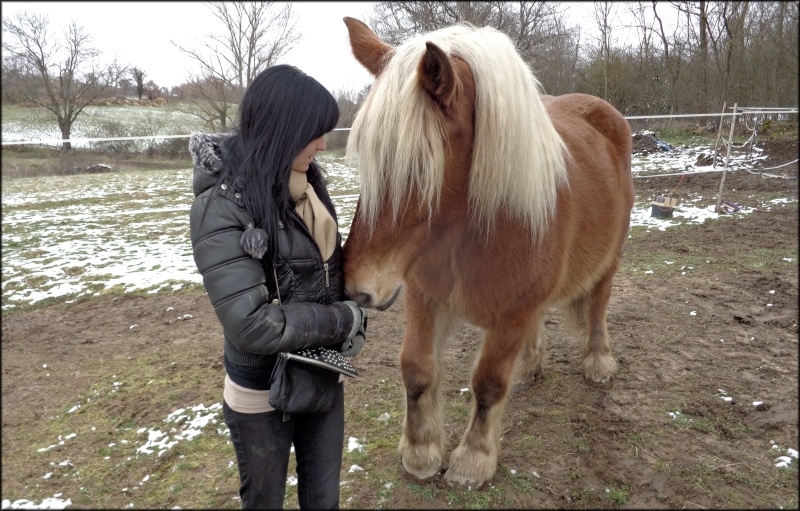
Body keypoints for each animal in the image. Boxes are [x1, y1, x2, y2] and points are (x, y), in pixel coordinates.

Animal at [340, 15, 636, 488]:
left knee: (597, 310)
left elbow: (489, 382)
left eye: (419, 167)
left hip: (608, 264)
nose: (356, 287)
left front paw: (472, 461)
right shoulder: (424, 297)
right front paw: (420, 453)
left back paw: (598, 363)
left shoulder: (513, 313)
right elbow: (416, 369)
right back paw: (531, 367)